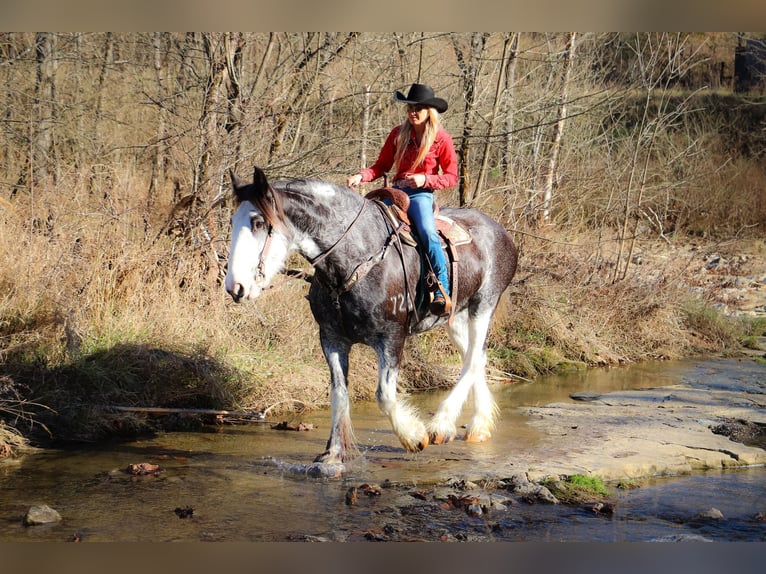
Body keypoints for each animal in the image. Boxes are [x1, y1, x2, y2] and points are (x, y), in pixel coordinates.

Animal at [225, 166, 520, 476]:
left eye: (258, 222)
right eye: (233, 221)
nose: (235, 287)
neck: (355, 258)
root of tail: (499, 230)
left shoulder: (392, 338)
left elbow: (385, 396)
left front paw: (414, 436)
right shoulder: (332, 339)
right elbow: (339, 394)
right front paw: (333, 455)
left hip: (483, 305)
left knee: (473, 359)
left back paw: (442, 424)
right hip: (455, 317)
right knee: (477, 357)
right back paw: (479, 426)